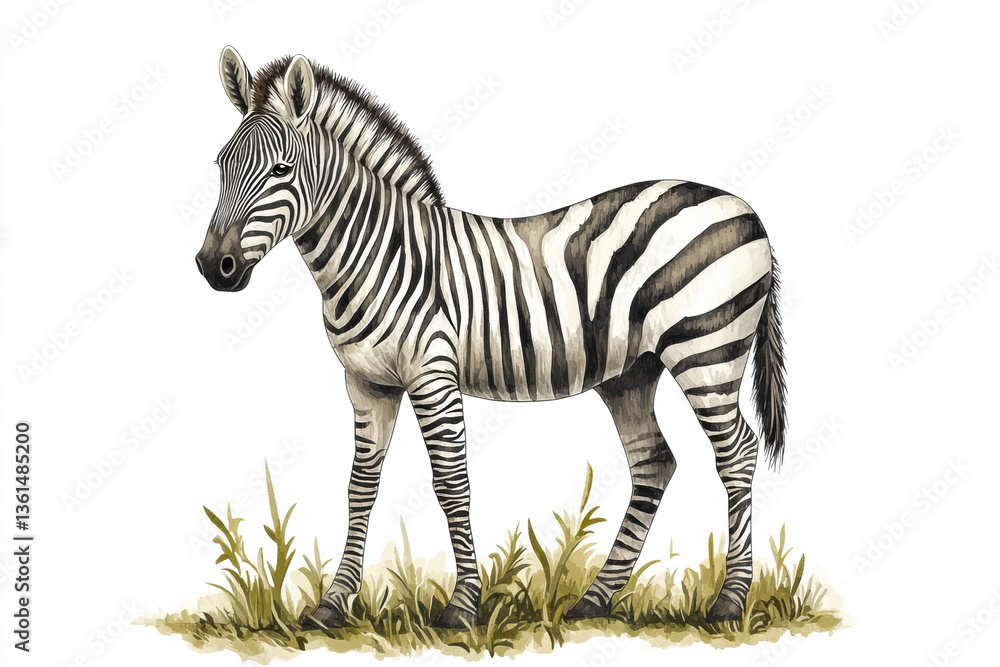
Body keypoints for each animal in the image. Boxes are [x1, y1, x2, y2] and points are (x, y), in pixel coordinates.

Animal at [196, 47, 788, 629]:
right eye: (221, 164)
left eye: (281, 170)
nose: (213, 267)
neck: (378, 251)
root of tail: (748, 210)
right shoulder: (366, 383)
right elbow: (359, 489)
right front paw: (332, 604)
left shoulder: (432, 376)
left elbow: (450, 484)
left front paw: (463, 606)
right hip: (631, 371)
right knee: (653, 462)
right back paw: (595, 599)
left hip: (705, 351)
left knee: (737, 453)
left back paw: (730, 601)